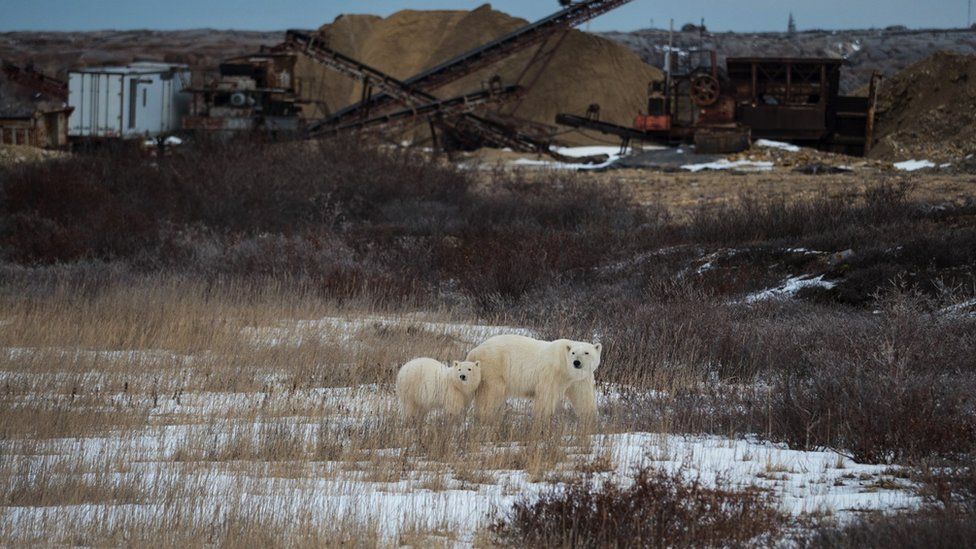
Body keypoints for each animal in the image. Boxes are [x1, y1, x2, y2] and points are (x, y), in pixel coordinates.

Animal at [468, 334, 604, 424]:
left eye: (586, 352)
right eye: (573, 353)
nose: (576, 362)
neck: (566, 369)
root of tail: (473, 351)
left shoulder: (580, 379)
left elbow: (584, 397)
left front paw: (591, 420)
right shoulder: (552, 373)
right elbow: (546, 396)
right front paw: (543, 420)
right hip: (494, 367)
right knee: (490, 394)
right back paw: (485, 417)